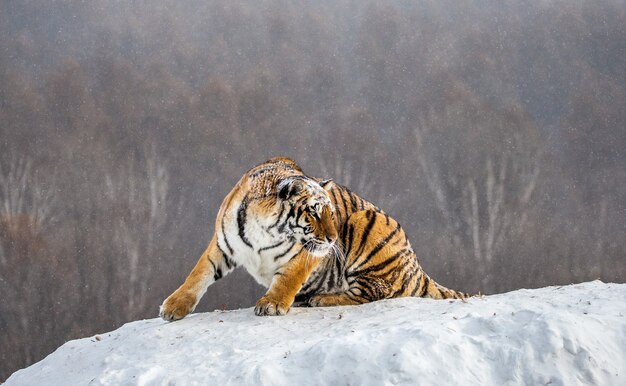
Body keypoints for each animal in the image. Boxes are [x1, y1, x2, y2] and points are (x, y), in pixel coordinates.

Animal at [158, 156, 466, 320]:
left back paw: (320, 299)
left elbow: (288, 278)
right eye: (315, 211)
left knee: (372, 293)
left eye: (331, 213)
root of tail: (418, 268)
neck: (263, 231)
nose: (332, 239)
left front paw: (272, 304)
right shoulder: (223, 245)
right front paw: (173, 307)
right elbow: (198, 275)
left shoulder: (306, 253)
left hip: (366, 221)